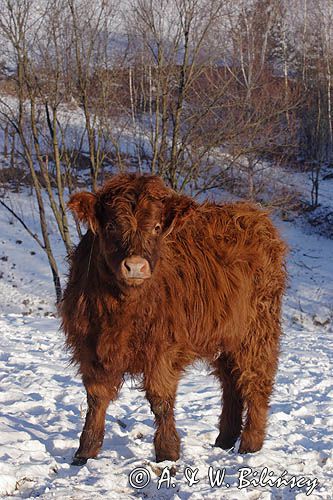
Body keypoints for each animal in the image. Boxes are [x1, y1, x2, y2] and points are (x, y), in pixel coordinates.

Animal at [61, 174, 286, 466]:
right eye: (111, 225)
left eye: (156, 227)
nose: (135, 266)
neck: (121, 310)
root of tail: (255, 214)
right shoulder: (89, 346)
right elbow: (96, 398)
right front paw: (85, 452)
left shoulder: (163, 348)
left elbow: (160, 400)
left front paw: (167, 452)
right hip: (226, 337)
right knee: (231, 384)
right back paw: (224, 440)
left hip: (256, 333)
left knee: (256, 382)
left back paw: (251, 444)